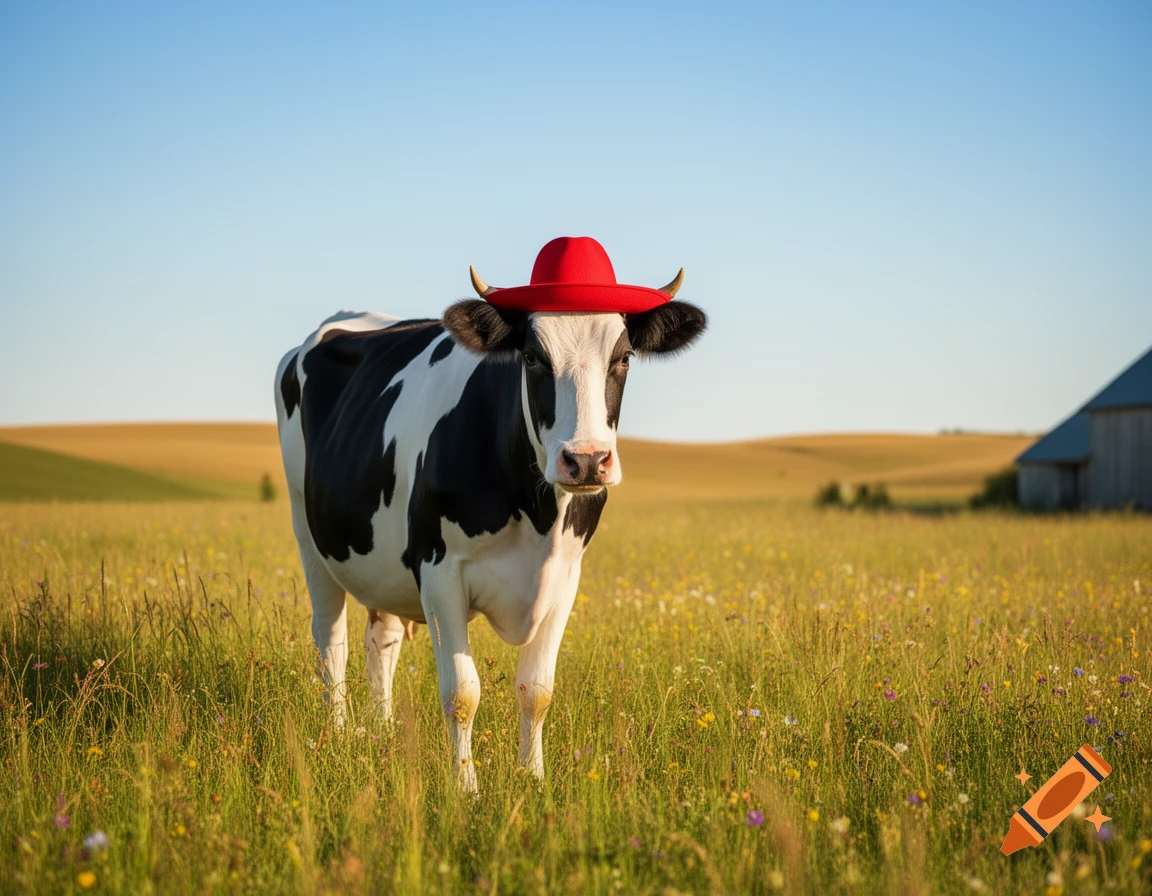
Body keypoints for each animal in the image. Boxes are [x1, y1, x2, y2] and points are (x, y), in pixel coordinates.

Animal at [274, 243, 706, 790]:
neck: (539, 517)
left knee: (382, 640)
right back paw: (338, 734)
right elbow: (462, 692)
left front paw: (533, 779)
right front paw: (466, 790)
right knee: (331, 643)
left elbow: (537, 689)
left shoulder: (566, 575)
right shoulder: (438, 568)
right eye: (533, 357)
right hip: (308, 531)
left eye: (624, 357)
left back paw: (384, 730)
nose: (586, 460)